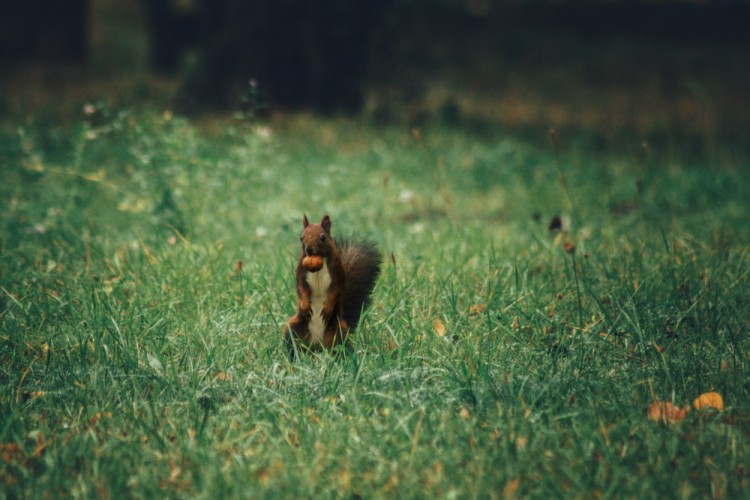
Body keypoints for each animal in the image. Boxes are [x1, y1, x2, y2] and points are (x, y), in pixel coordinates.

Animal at [286, 213, 384, 358]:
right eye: (301, 237)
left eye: (323, 237)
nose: (309, 249)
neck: (319, 262)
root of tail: (317, 345)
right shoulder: (301, 270)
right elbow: (301, 287)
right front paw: (304, 304)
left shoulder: (337, 270)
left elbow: (337, 289)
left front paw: (328, 307)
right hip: (293, 327)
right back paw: (294, 356)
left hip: (338, 330)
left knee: (338, 346)